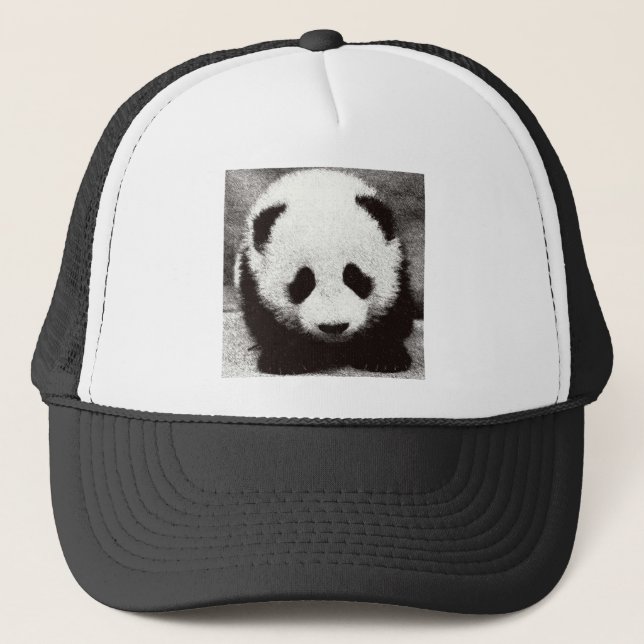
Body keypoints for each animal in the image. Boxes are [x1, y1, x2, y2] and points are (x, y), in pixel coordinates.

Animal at [235, 168, 416, 375]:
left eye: (354, 277)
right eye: (303, 282)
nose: (334, 327)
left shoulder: (398, 270)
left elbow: (395, 313)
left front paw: (384, 356)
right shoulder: (251, 274)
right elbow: (265, 319)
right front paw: (286, 358)